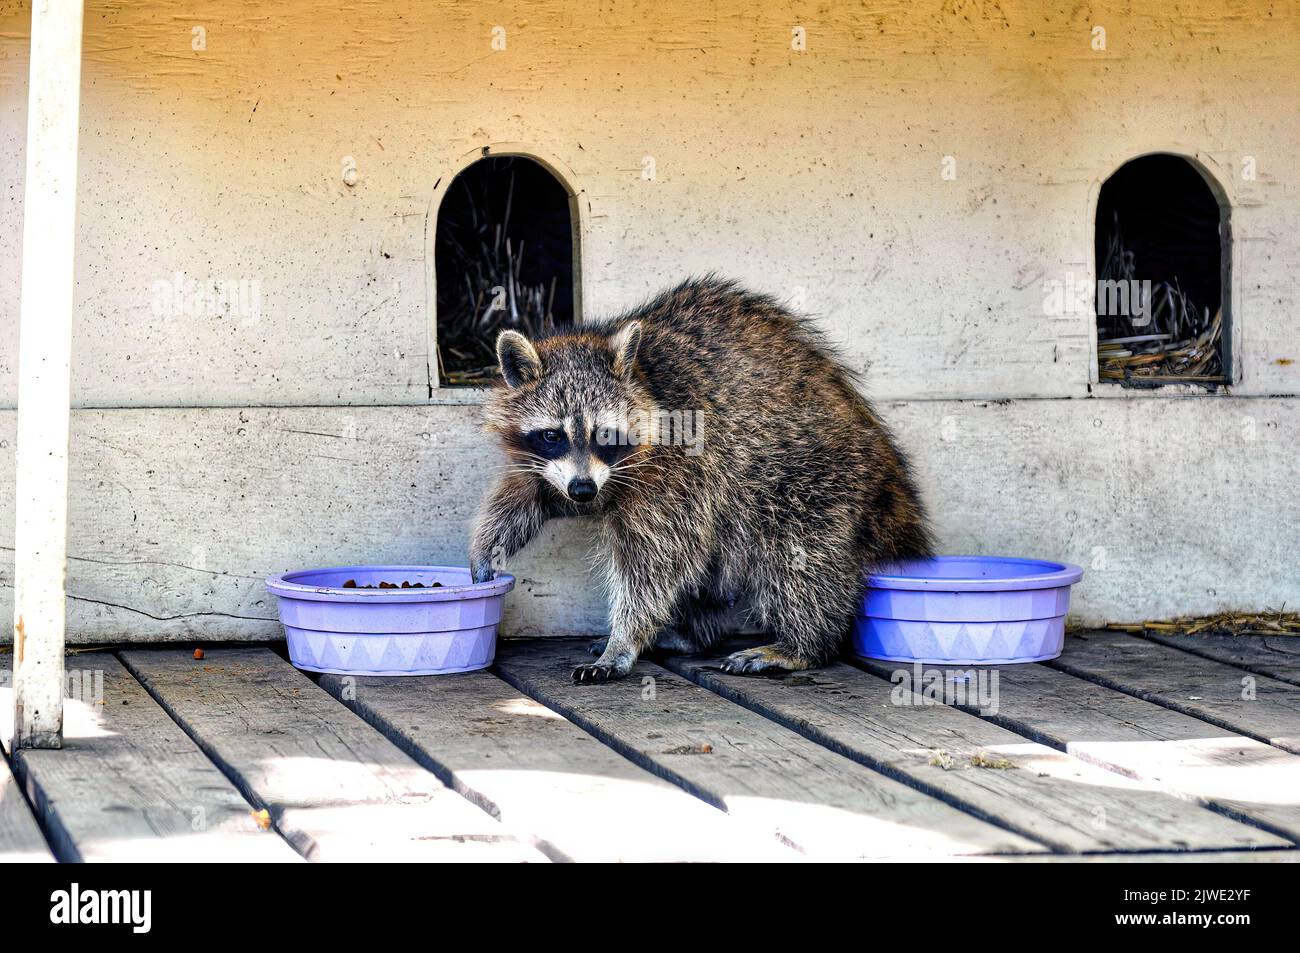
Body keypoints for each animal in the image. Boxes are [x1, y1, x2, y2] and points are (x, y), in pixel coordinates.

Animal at [469, 277, 932, 682]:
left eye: (606, 435)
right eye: (553, 435)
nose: (583, 491)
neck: (646, 379)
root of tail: (886, 466)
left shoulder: (678, 468)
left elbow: (654, 561)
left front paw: (624, 639)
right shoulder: (552, 465)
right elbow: (528, 496)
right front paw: (488, 548)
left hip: (817, 478)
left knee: (798, 555)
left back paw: (802, 643)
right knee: (715, 559)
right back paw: (695, 634)